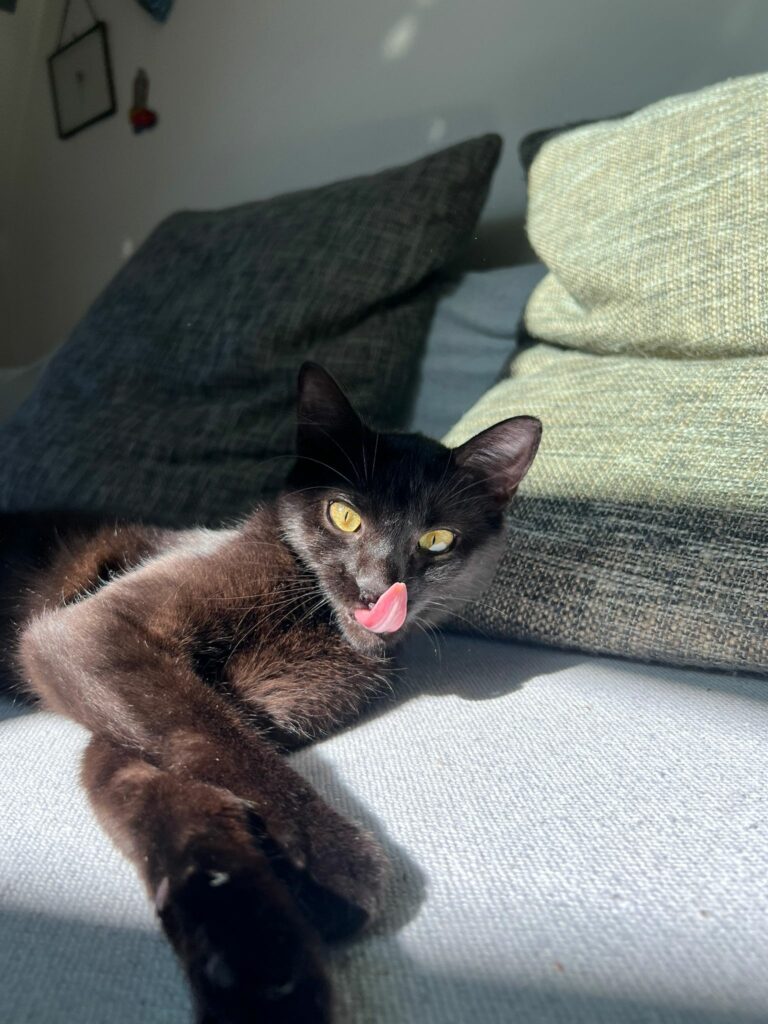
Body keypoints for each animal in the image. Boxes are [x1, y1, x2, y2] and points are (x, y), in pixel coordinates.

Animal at [1, 362, 541, 1024]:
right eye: (343, 516)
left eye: (437, 539)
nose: (376, 588)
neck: (316, 623)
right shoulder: (92, 633)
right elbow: (223, 744)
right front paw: (335, 867)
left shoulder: (132, 729)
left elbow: (184, 802)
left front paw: (265, 977)